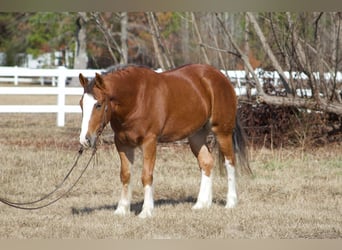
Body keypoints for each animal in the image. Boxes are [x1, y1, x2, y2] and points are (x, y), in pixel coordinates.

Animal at [78, 64, 251, 219]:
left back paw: (231, 203)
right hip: (196, 135)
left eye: (98, 104)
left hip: (222, 132)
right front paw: (121, 210)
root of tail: (221, 77)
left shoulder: (149, 141)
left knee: (230, 162)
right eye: (81, 104)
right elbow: (125, 175)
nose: (85, 139)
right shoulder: (122, 143)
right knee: (206, 162)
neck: (136, 98)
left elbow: (146, 175)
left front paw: (146, 211)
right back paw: (201, 204)